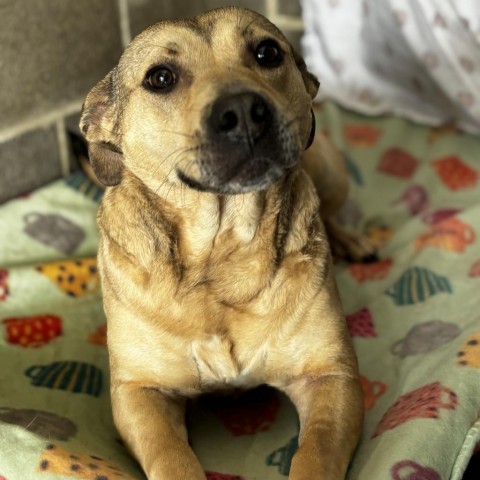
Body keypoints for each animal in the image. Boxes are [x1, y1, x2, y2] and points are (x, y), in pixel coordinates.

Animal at [80, 6, 370, 476]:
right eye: (160, 77)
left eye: (268, 52)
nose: (243, 110)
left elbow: (318, 452)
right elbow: (171, 457)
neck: (221, 250)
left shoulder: (331, 377)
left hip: (330, 170)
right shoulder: (138, 393)